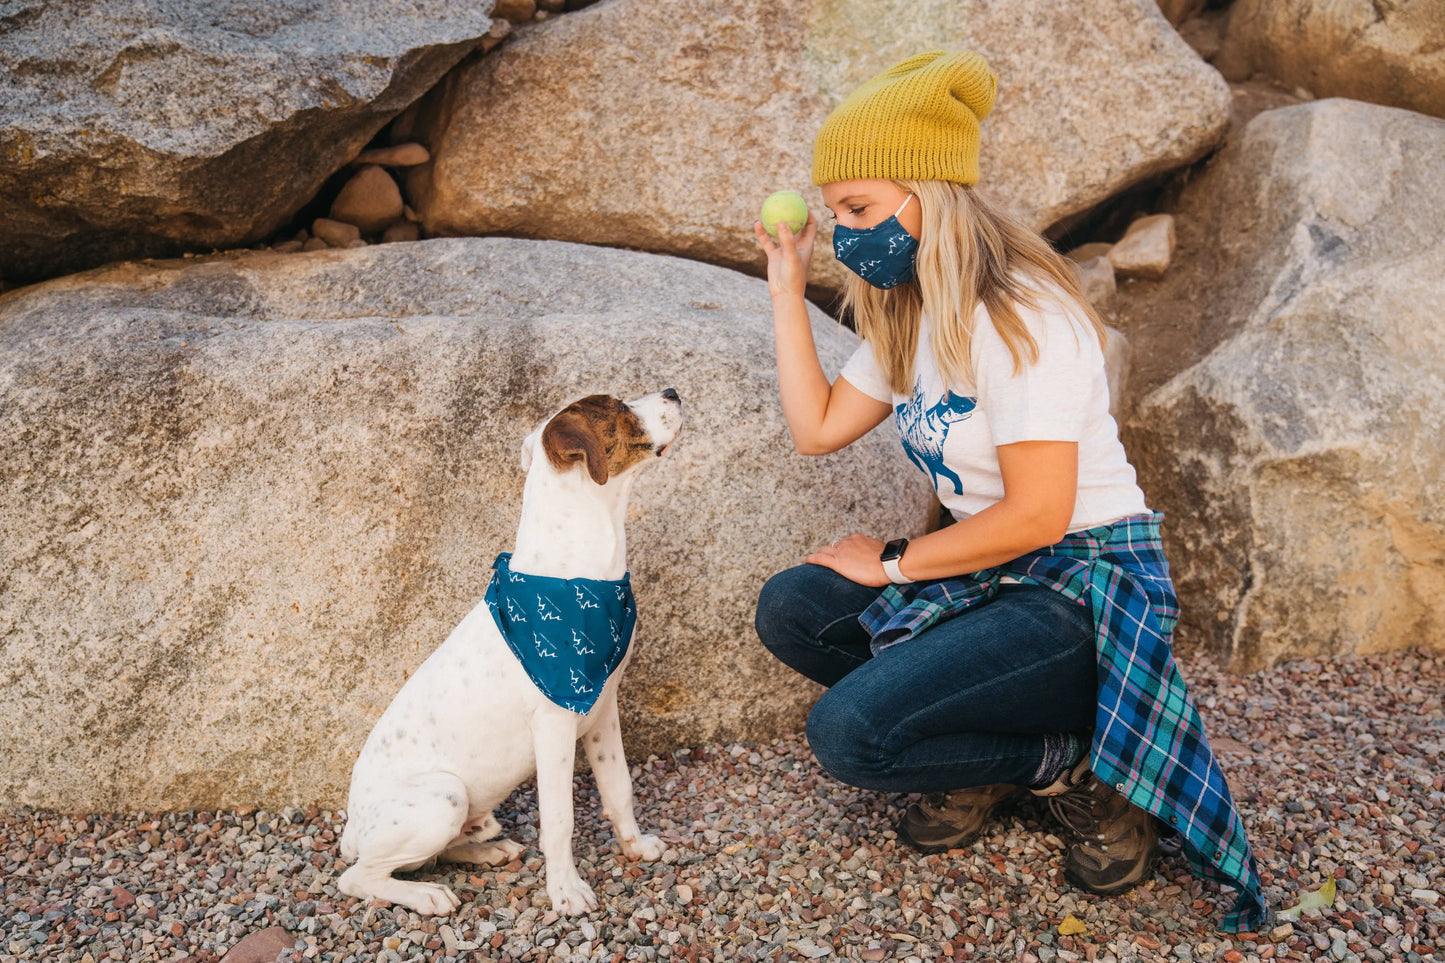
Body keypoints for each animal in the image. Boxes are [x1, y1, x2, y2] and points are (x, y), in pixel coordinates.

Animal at [338, 387, 682, 913]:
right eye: (620, 407)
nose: (673, 392)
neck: (575, 574)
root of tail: (352, 829)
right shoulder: (557, 722)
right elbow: (560, 821)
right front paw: (566, 891)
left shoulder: (603, 710)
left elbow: (619, 787)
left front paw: (636, 846)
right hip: (443, 795)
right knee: (361, 877)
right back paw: (426, 895)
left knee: (437, 852)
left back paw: (489, 850)